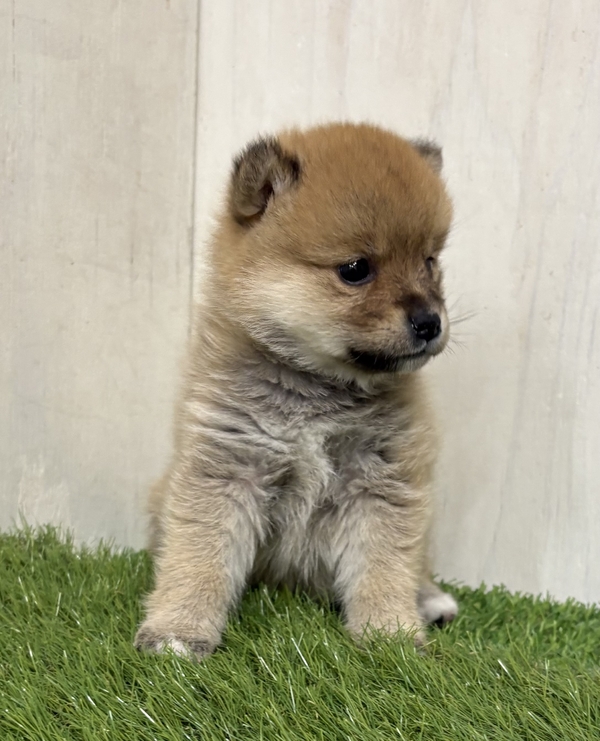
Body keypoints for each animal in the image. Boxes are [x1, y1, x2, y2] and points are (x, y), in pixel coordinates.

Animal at [134, 122, 458, 660]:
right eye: (356, 269)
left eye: (430, 261)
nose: (430, 322)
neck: (316, 397)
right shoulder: (227, 469)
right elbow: (200, 558)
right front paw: (178, 629)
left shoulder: (382, 482)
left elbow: (384, 566)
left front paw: (389, 633)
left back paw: (430, 599)